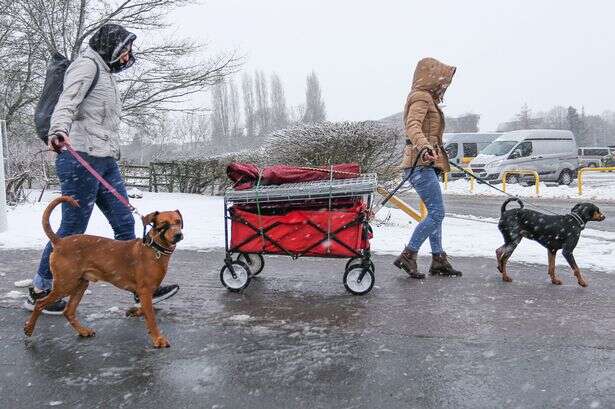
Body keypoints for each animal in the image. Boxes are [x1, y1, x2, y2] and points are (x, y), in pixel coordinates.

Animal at [24, 195, 183, 348]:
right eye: (164, 224)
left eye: (178, 221)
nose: (178, 235)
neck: (155, 249)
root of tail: (60, 241)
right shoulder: (145, 291)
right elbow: (151, 318)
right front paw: (158, 339)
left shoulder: (146, 293)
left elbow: (144, 310)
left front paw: (134, 312)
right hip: (65, 284)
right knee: (40, 304)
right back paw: (29, 327)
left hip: (81, 284)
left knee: (68, 311)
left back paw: (83, 331)